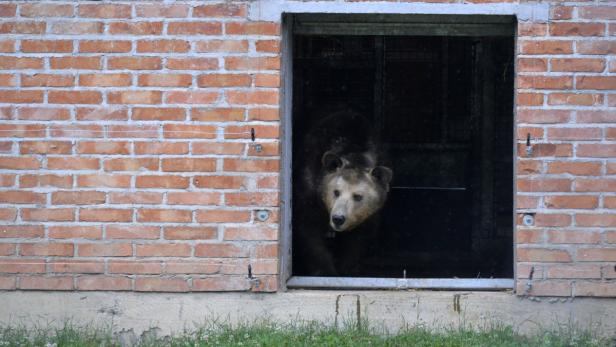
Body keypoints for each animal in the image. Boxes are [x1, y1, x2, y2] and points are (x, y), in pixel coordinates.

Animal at [292, 111, 392, 278]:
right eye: (336, 192)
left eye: (358, 196)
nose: (338, 218)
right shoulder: (309, 187)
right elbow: (309, 232)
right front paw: (326, 271)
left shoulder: (369, 215)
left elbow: (358, 242)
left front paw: (347, 270)